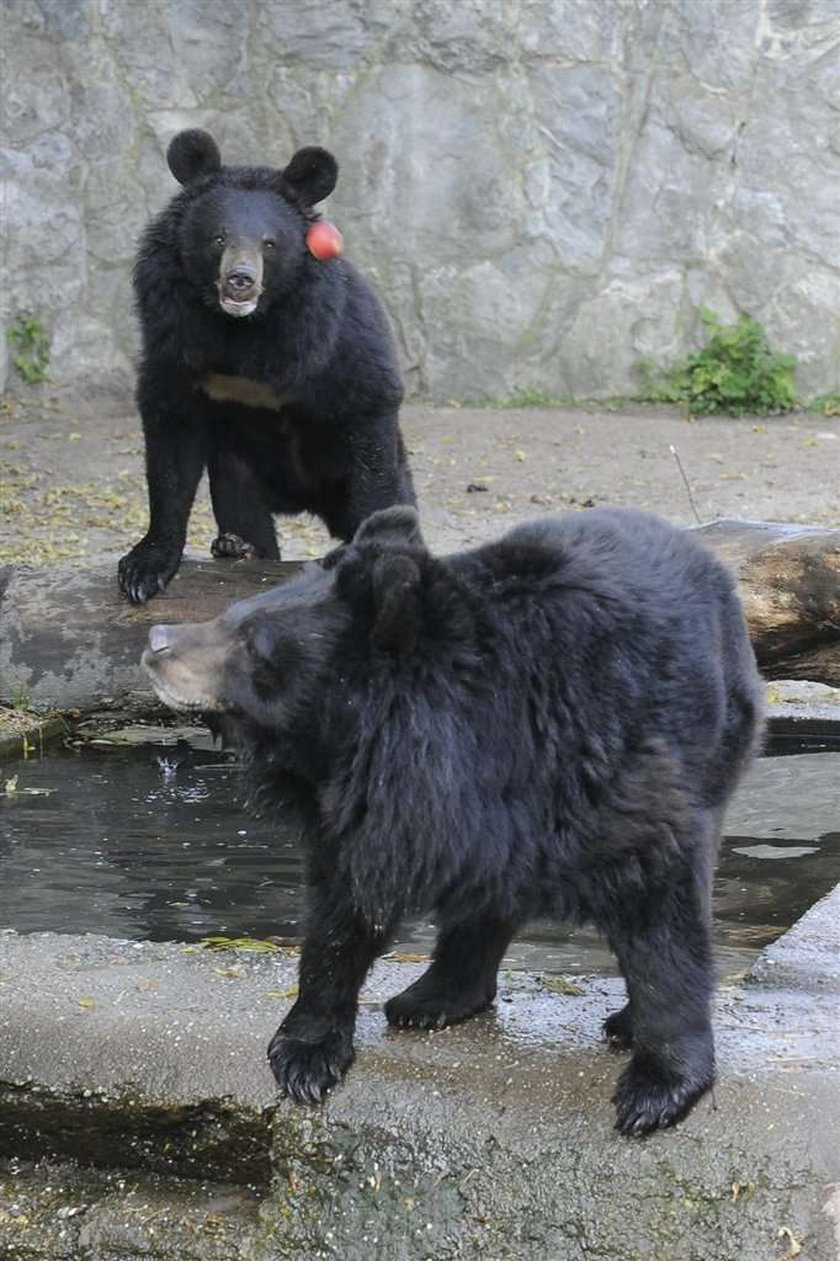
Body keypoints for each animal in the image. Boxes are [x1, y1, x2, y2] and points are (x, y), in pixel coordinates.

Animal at [119, 130, 413, 602]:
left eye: (269, 244)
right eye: (219, 238)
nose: (240, 279)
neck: (244, 327)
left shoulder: (335, 334)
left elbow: (369, 420)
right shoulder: (174, 335)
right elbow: (171, 441)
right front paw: (143, 570)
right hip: (238, 467)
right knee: (243, 510)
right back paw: (237, 548)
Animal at [140, 506, 761, 1139]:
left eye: (251, 642)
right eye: (233, 612)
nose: (155, 643)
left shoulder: (604, 759)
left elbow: (659, 904)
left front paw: (658, 1087)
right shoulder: (368, 805)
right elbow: (343, 912)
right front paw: (305, 1053)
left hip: (718, 739)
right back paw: (433, 997)